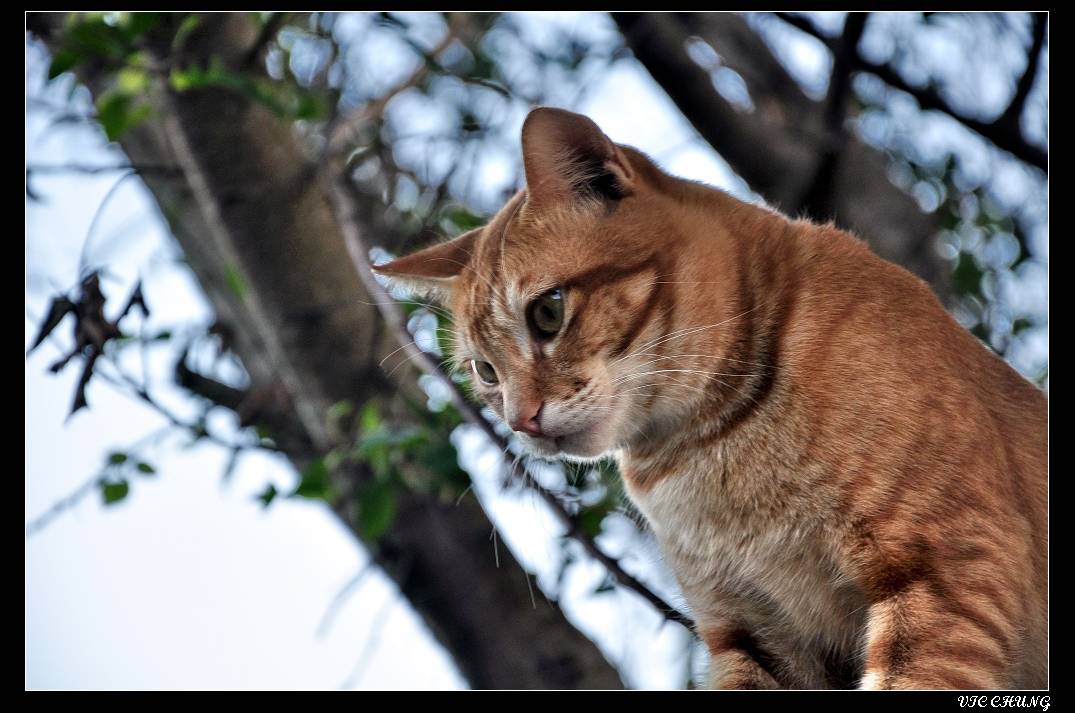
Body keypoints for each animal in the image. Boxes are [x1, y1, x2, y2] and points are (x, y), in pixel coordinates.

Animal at [373, 107, 1048, 690]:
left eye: (548, 312)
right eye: (485, 371)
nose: (521, 422)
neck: (708, 447)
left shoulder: (947, 570)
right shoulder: (755, 635)